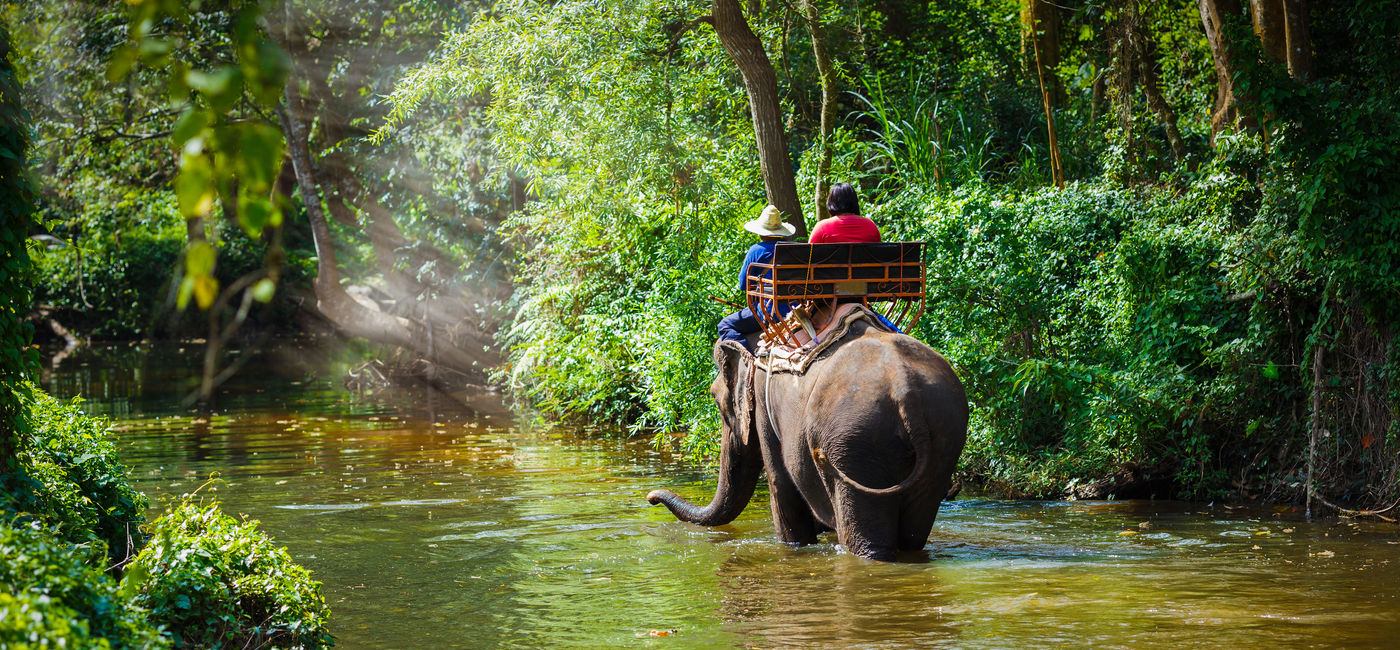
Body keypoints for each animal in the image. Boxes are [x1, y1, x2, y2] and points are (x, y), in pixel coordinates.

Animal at [647, 313, 968, 561]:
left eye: (716, 400)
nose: (651, 498)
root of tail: (906, 391)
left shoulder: (764, 404)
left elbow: (780, 483)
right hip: (943, 437)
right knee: (914, 534)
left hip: (856, 443)